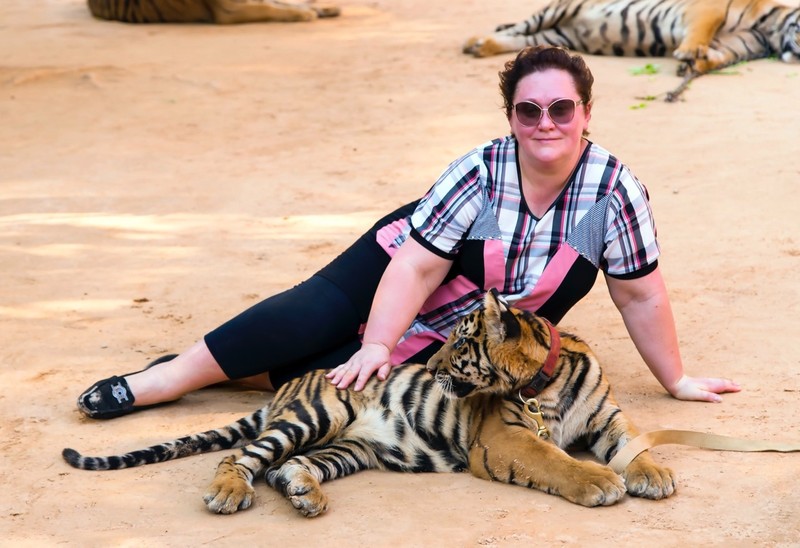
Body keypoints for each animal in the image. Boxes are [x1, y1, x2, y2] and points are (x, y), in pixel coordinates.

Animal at [62, 292, 676, 520]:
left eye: (459, 343)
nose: (432, 364)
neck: (545, 379)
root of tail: (295, 383)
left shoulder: (607, 418)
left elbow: (635, 443)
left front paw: (654, 474)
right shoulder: (504, 437)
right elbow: (556, 460)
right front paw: (600, 482)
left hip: (352, 448)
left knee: (287, 466)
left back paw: (305, 495)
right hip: (318, 414)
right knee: (242, 455)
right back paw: (229, 493)